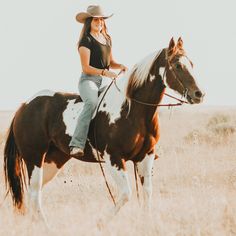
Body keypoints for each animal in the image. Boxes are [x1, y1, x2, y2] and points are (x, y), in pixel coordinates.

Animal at [3, 37, 203, 223]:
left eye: (192, 64)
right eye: (178, 65)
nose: (199, 94)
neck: (132, 110)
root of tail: (24, 106)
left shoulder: (145, 157)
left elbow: (147, 193)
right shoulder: (113, 158)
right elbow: (125, 193)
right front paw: (100, 223)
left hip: (53, 161)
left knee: (33, 194)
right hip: (34, 158)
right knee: (34, 195)